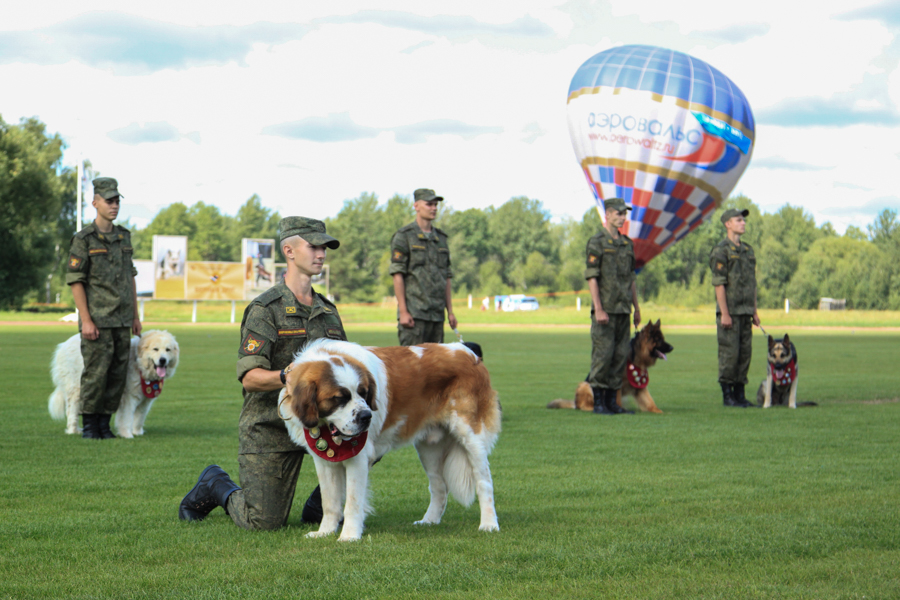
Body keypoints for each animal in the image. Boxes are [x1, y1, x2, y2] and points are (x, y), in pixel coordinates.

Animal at [47, 330, 179, 438]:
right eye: (155, 349)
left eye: (167, 350)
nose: (163, 360)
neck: (139, 364)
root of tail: (64, 344)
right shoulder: (128, 398)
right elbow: (126, 417)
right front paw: (127, 435)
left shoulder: (145, 400)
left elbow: (140, 417)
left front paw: (137, 432)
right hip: (77, 389)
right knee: (72, 411)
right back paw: (74, 430)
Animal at [276, 340, 500, 540]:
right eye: (339, 398)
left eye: (364, 393)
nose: (367, 416)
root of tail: (470, 354)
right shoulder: (324, 461)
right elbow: (330, 501)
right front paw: (325, 532)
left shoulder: (357, 459)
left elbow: (352, 502)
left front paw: (349, 536)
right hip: (429, 448)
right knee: (439, 486)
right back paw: (429, 521)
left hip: (471, 437)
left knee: (484, 482)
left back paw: (489, 524)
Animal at [544, 322, 672, 414]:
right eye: (660, 340)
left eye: (663, 339)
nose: (672, 347)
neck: (635, 356)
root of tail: (575, 403)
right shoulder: (617, 383)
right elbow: (617, 399)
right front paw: (619, 410)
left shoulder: (640, 386)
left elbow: (649, 401)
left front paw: (658, 411)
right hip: (586, 385)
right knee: (584, 406)